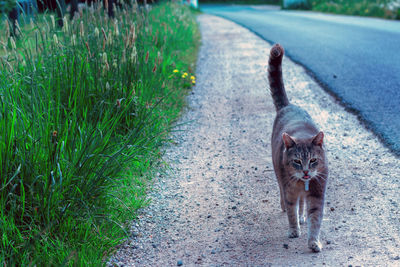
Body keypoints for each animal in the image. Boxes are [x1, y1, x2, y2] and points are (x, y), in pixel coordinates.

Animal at [268, 44, 328, 253]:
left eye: (313, 160)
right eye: (296, 161)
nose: (306, 172)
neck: (304, 184)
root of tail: (288, 106)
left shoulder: (317, 194)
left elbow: (315, 219)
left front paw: (314, 242)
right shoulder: (290, 191)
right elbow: (291, 212)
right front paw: (294, 230)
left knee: (302, 205)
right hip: (278, 174)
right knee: (283, 195)